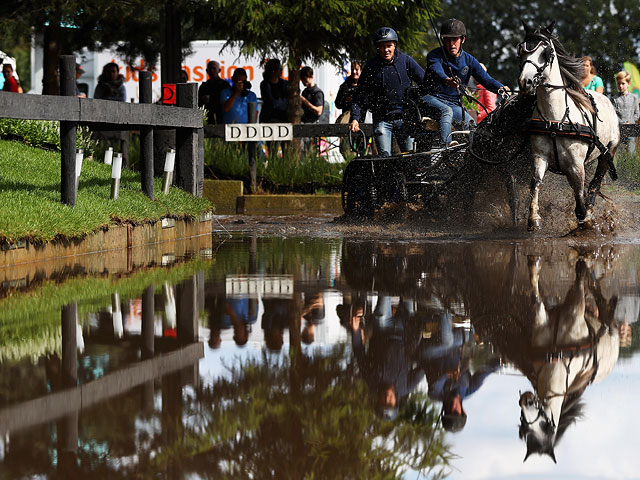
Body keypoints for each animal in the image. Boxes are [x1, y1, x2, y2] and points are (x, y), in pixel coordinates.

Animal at [520, 21, 620, 232]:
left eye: (546, 52)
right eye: (521, 50)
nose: (526, 82)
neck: (555, 120)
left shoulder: (576, 165)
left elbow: (580, 200)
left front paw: (586, 220)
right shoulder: (540, 156)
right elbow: (535, 182)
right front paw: (534, 218)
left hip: (608, 152)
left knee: (594, 184)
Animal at [520, 256, 620, 464]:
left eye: (545, 426)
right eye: (523, 428)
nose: (526, 400)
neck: (555, 357)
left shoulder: (575, 306)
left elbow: (580, 282)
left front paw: (584, 262)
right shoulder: (541, 317)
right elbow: (535, 292)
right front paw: (534, 264)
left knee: (600, 301)